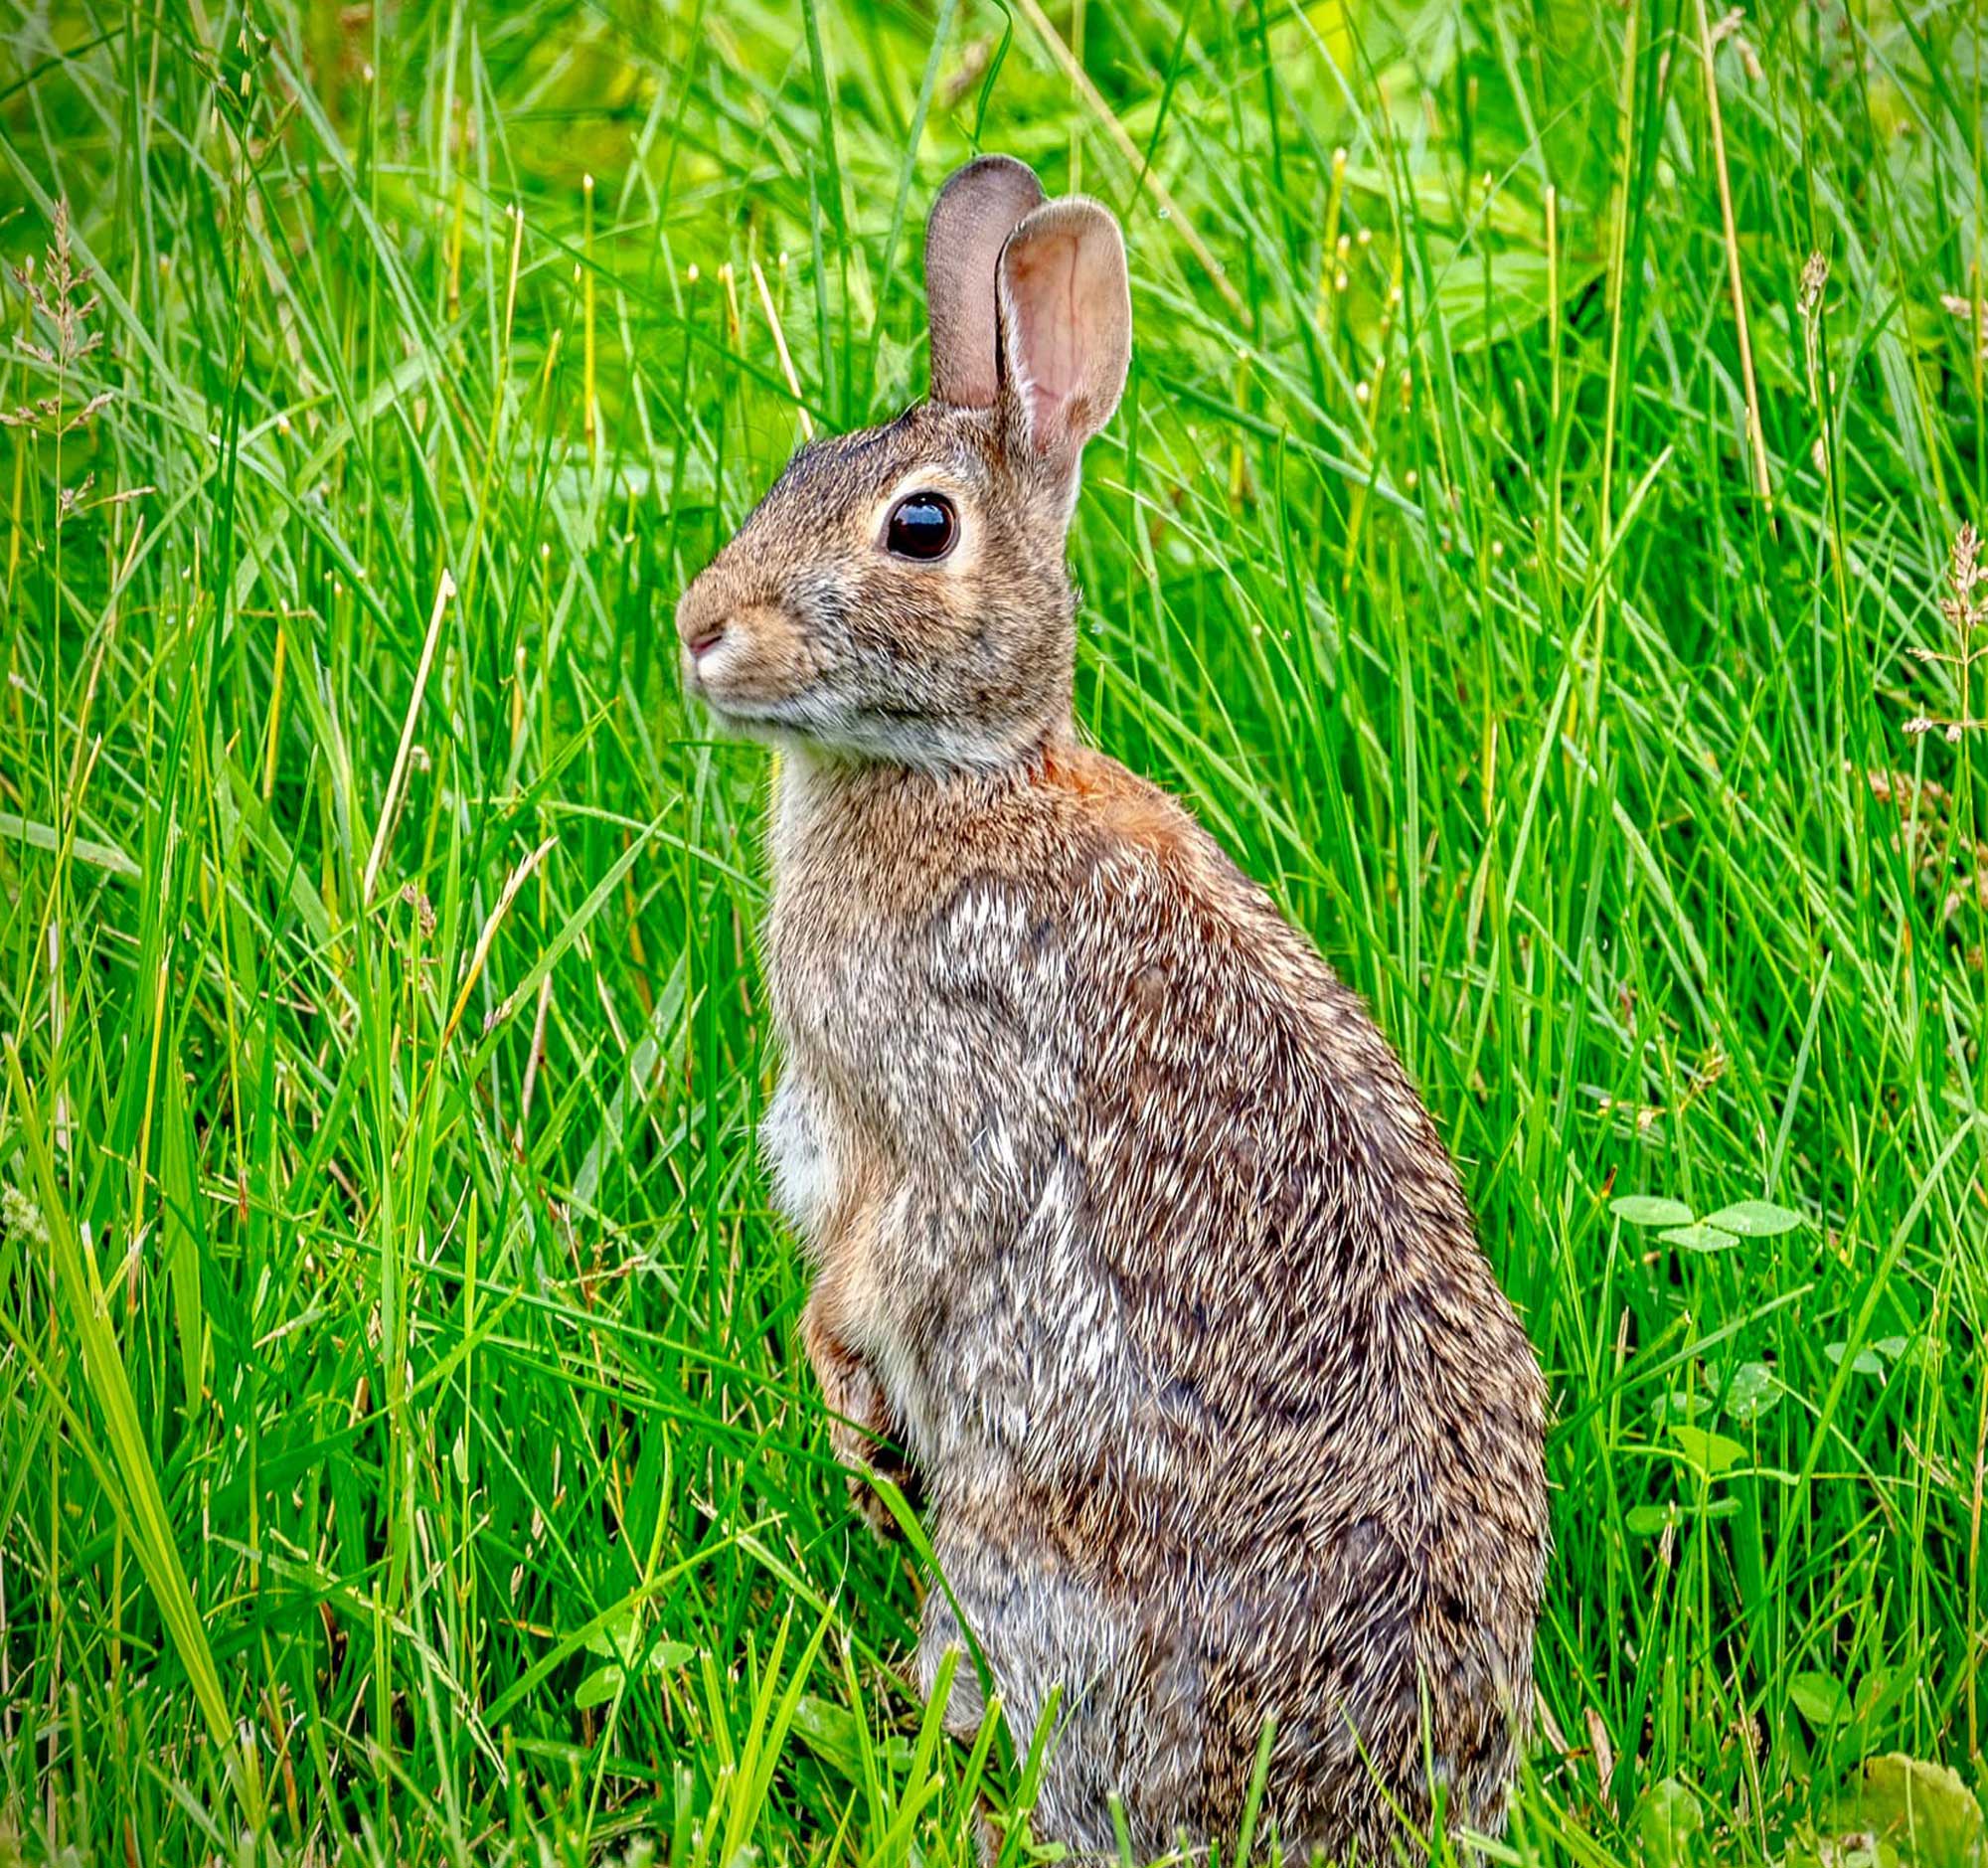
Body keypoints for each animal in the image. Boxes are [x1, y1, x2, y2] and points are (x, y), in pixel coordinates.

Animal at [675, 154, 1549, 1863]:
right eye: (795, 464)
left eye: (920, 525)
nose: (698, 626)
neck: (963, 775)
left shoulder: (946, 1103)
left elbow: (885, 1260)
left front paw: (841, 1407)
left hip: (1023, 1570)